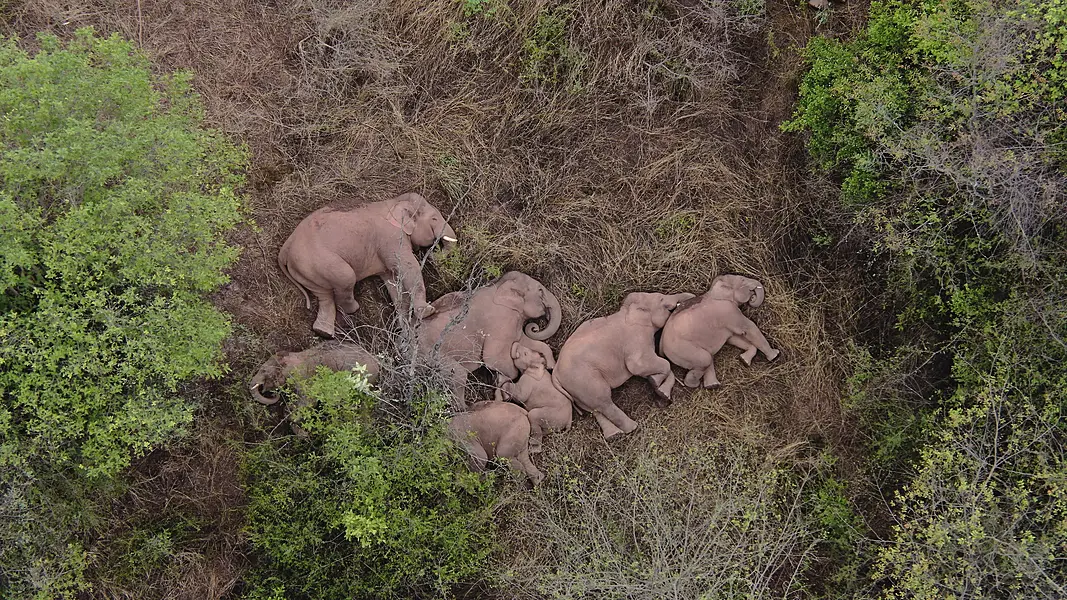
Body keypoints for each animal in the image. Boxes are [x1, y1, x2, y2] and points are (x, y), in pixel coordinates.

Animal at [277, 191, 456, 337]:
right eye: (434, 219)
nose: (432, 252)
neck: (394, 202)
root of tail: (285, 248)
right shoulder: (390, 237)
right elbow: (408, 266)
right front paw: (428, 311)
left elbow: (392, 280)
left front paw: (405, 329)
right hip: (318, 260)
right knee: (346, 277)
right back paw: (353, 309)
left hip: (306, 270)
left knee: (324, 295)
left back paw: (323, 333)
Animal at [418, 271, 563, 405]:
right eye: (540, 291)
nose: (534, 327)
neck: (499, 285)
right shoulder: (501, 320)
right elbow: (493, 359)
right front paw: (501, 384)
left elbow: (523, 341)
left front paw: (550, 365)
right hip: (432, 355)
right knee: (459, 375)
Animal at [546, 290, 695, 437]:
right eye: (661, 299)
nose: (691, 299)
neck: (626, 311)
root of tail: (555, 374)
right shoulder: (636, 339)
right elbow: (642, 366)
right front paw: (656, 384)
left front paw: (659, 388)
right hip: (584, 380)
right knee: (603, 401)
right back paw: (632, 428)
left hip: (576, 389)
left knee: (594, 408)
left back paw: (614, 434)